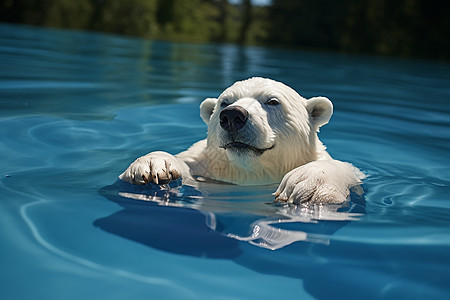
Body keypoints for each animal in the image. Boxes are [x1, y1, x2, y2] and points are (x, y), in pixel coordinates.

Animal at [118, 77, 364, 204]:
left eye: (273, 101)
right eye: (224, 103)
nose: (233, 116)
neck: (250, 174)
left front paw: (307, 185)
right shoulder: (207, 169)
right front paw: (152, 166)